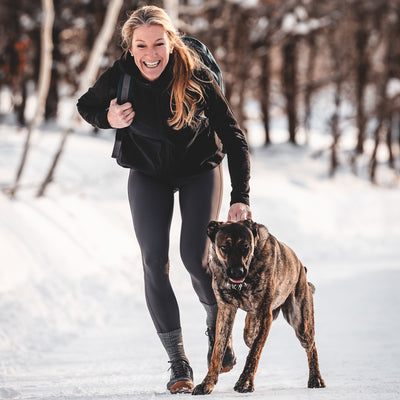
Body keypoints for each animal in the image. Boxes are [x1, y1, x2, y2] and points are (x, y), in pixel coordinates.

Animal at [192, 220, 326, 396]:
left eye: (246, 246)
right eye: (224, 247)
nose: (237, 272)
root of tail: (300, 266)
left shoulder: (264, 314)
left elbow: (254, 352)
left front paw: (245, 382)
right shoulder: (226, 311)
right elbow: (217, 351)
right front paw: (207, 383)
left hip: (301, 321)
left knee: (311, 347)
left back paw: (316, 378)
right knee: (249, 334)